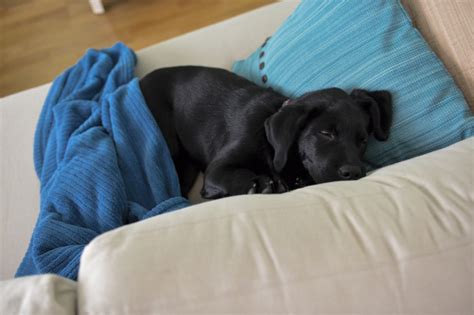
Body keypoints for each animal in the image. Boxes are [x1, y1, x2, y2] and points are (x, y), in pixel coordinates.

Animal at [140, 66, 392, 199]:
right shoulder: (216, 170)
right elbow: (236, 175)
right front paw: (261, 183)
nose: (355, 172)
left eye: (362, 140)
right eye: (326, 133)